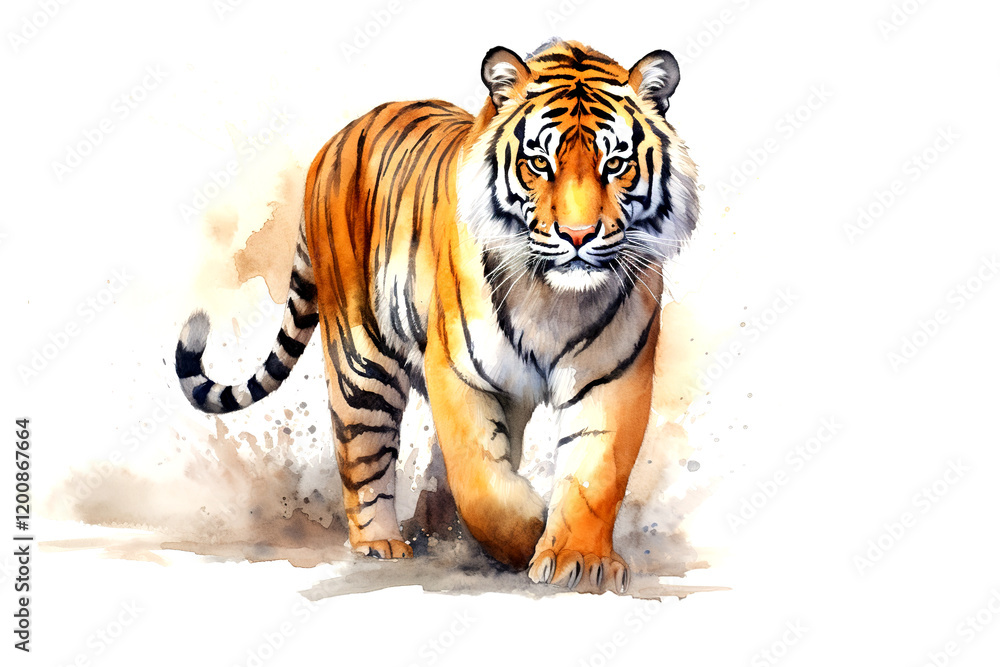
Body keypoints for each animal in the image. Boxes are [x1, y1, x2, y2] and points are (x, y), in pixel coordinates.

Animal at [176, 39, 698, 594]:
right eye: (539, 162)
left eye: (615, 163)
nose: (578, 235)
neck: (554, 298)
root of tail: (336, 140)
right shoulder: (456, 369)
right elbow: (480, 482)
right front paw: (529, 531)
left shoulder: (614, 375)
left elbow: (594, 475)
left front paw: (579, 559)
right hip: (361, 358)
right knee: (363, 449)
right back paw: (381, 543)